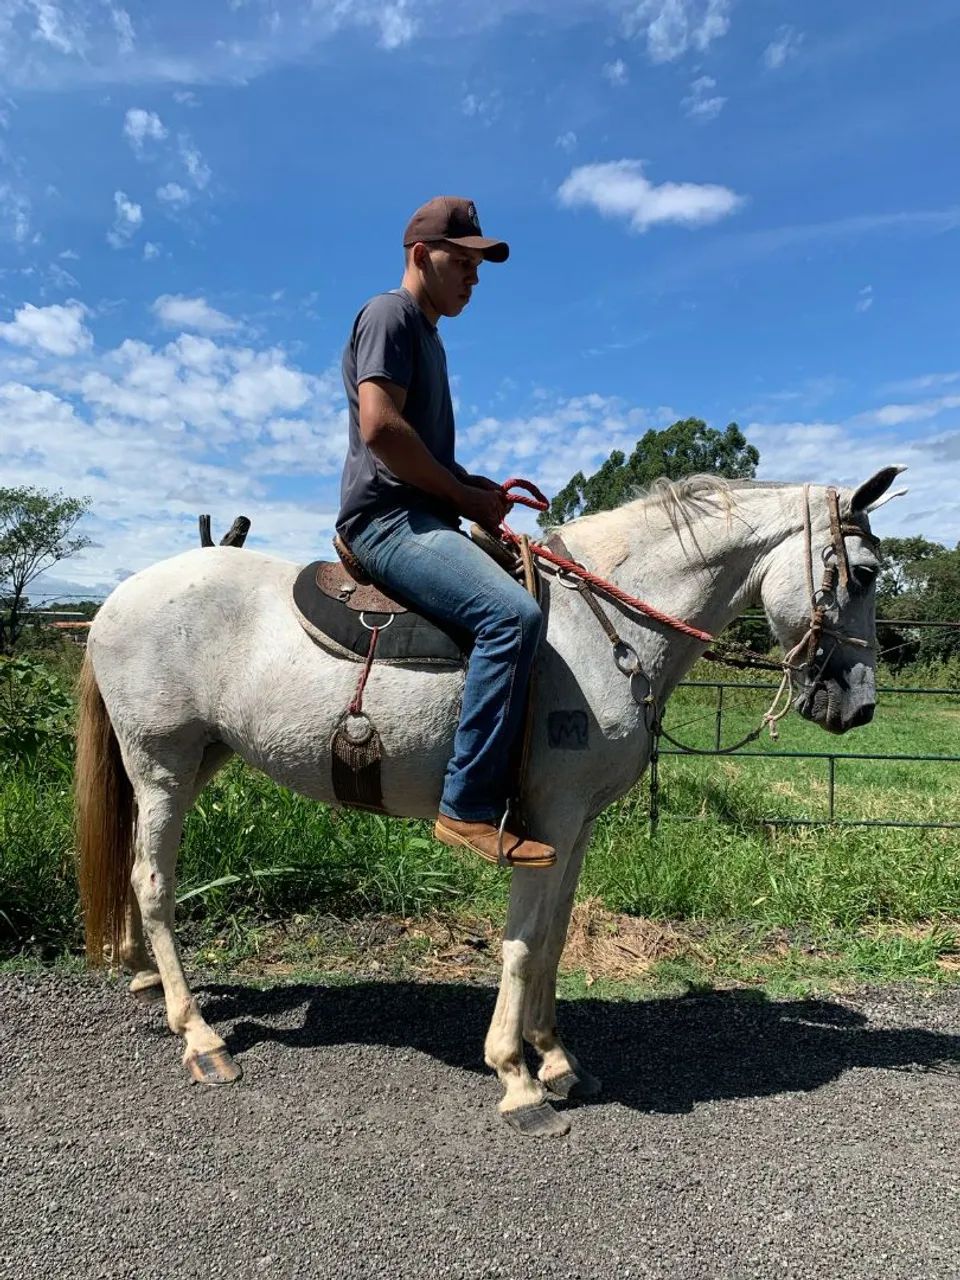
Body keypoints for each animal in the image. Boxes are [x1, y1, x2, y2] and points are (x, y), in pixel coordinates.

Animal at [74, 467, 903, 1137]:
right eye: (862, 572)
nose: (859, 706)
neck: (605, 627)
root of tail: (116, 599)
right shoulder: (548, 820)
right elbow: (524, 944)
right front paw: (516, 1078)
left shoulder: (576, 826)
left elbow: (557, 941)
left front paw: (558, 1059)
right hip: (162, 762)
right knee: (154, 883)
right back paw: (200, 1036)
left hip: (197, 759)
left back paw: (147, 977)